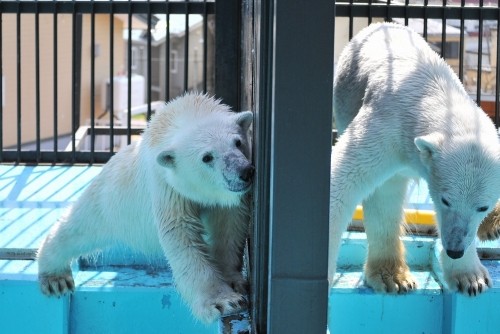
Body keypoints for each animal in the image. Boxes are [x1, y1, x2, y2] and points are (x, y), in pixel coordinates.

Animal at [36, 92, 254, 322]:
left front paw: (233, 281)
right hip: (110, 200)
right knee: (78, 227)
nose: (244, 171)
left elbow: (229, 228)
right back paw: (55, 278)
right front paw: (224, 301)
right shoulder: (167, 186)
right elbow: (182, 235)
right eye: (207, 157)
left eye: (238, 142)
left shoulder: (229, 198)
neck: (184, 112)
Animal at [330, 22, 500, 294]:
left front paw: (472, 279)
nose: (454, 250)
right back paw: (392, 277)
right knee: (385, 193)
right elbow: (344, 180)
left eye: (482, 206)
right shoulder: (388, 128)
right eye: (445, 200)